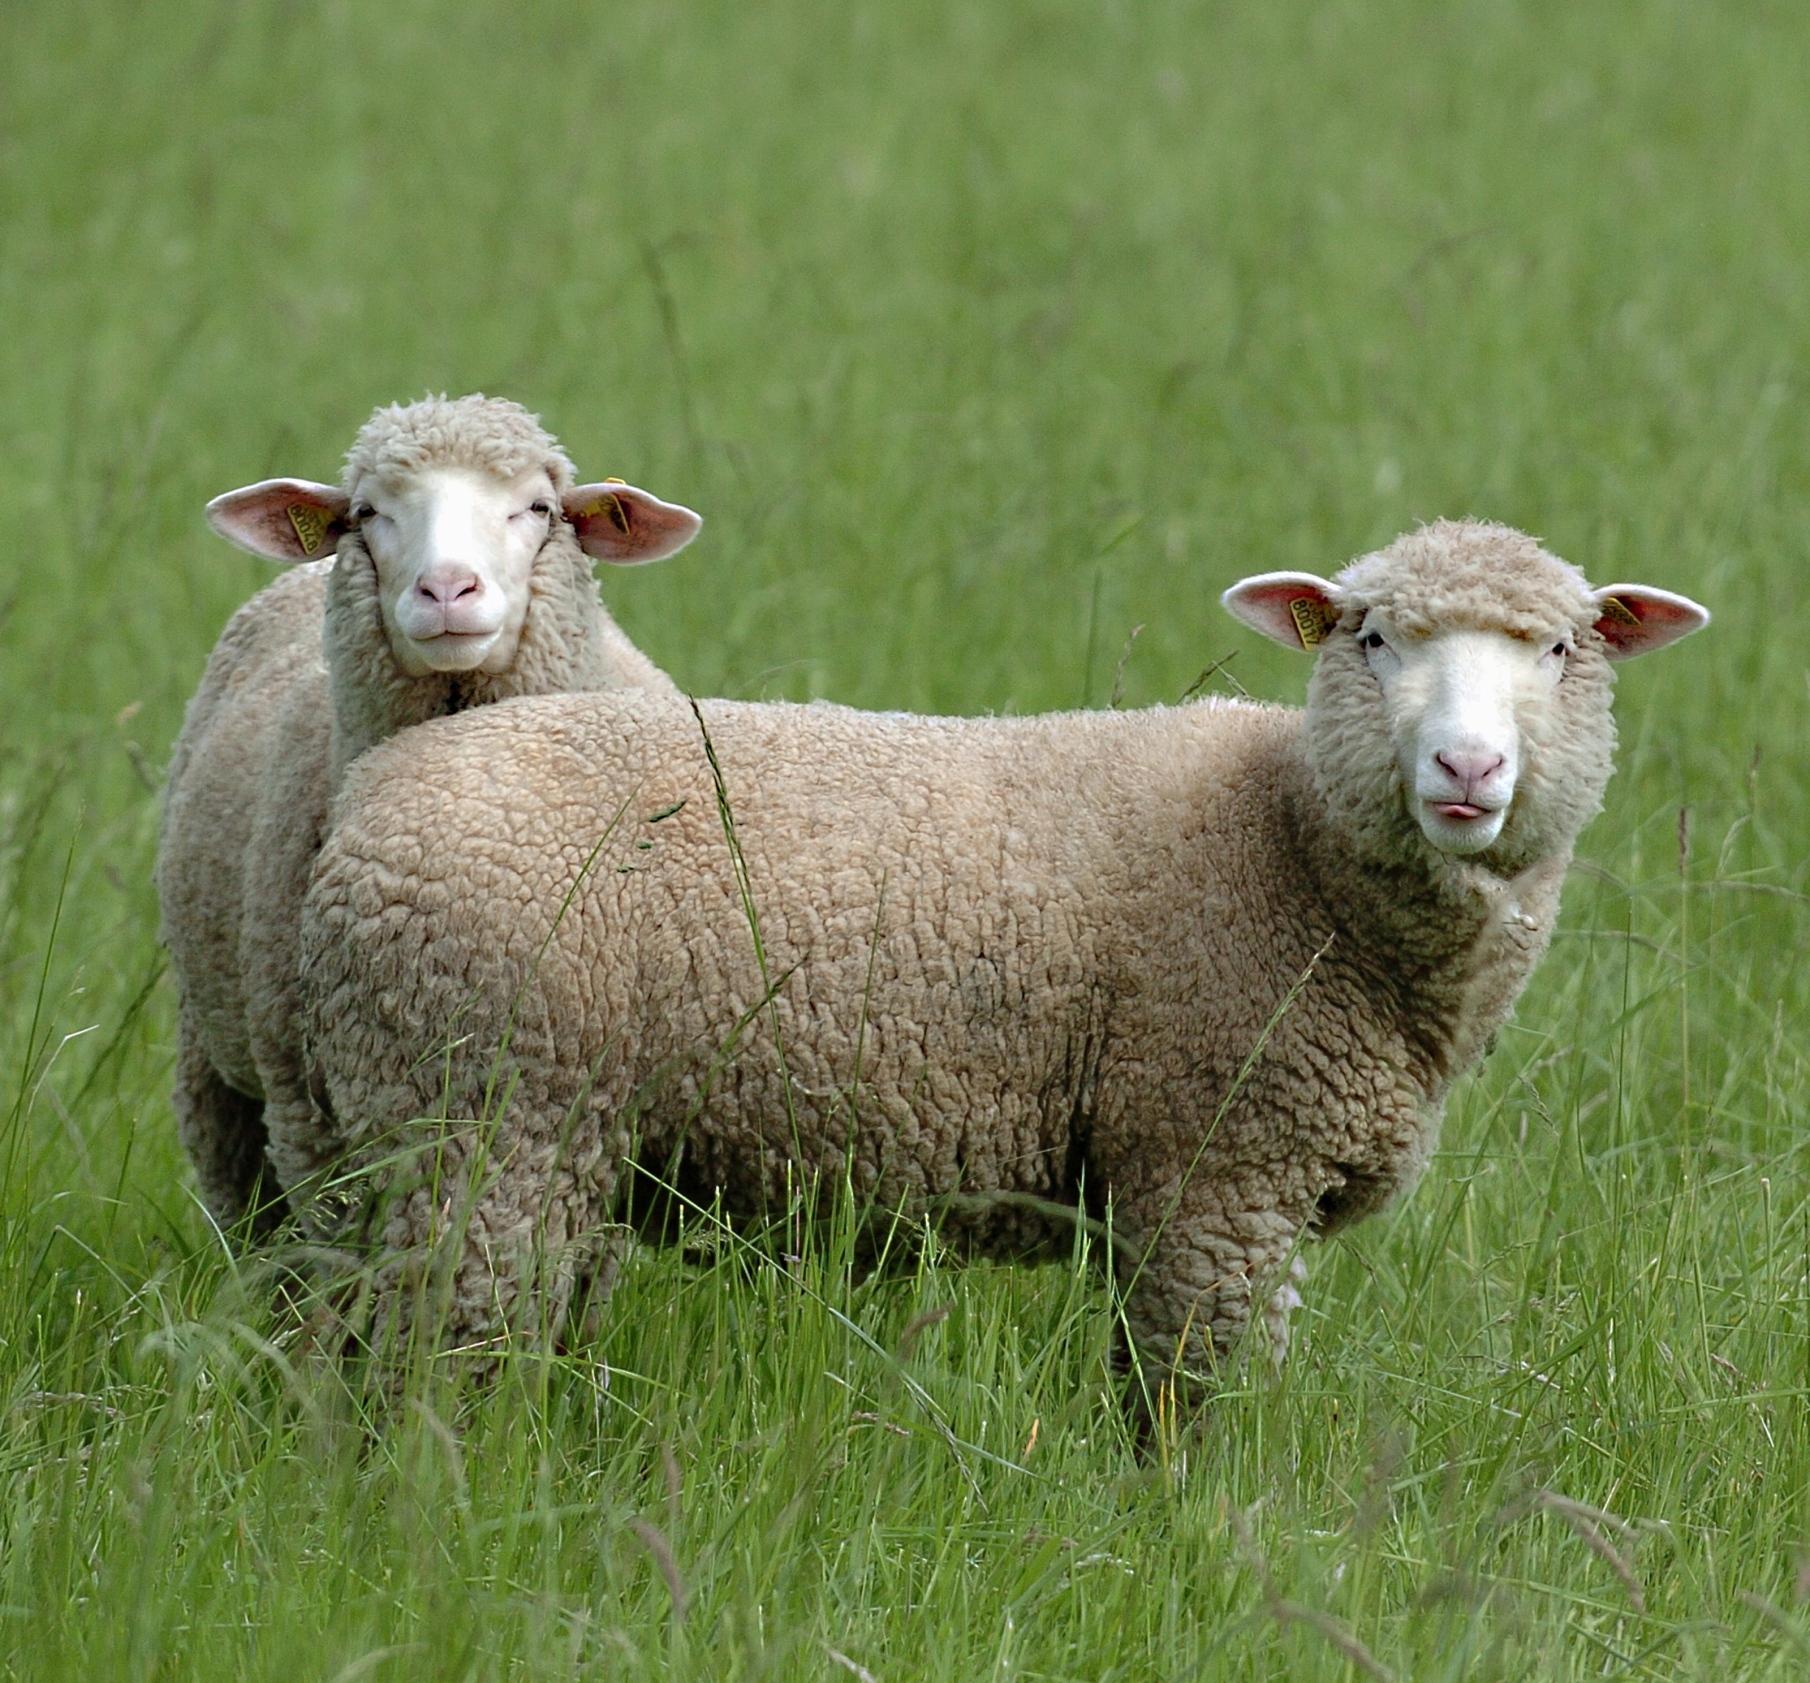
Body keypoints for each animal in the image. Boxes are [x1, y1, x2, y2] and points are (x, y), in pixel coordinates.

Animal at [285, 520, 1706, 1410]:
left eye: (1560, 651)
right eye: (1369, 642)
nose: (1467, 767)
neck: (1293, 846)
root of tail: (371, 795)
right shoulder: (1215, 1168)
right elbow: (1188, 1412)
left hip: (408, 1125)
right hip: (488, 1116)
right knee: (424, 1363)